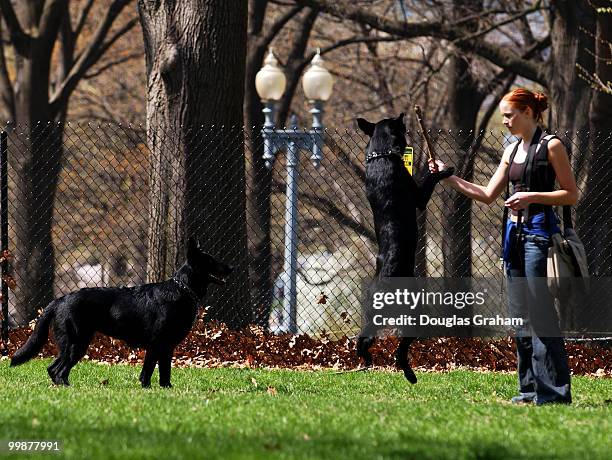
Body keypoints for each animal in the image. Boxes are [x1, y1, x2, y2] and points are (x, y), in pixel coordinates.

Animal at [10, 239, 234, 386]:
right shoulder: (156, 345)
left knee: (55, 369)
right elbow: (148, 372)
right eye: (211, 261)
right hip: (76, 344)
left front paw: (166, 390)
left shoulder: (167, 347)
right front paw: (148, 389)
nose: (231, 268)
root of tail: (59, 300)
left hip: (74, 345)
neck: (182, 290)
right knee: (57, 369)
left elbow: (165, 373)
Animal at [354, 113, 454, 382]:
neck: (382, 154)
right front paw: (443, 169)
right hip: (415, 314)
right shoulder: (419, 197)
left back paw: (368, 360)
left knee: (364, 340)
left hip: (374, 315)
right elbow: (429, 179)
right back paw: (408, 372)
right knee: (399, 346)